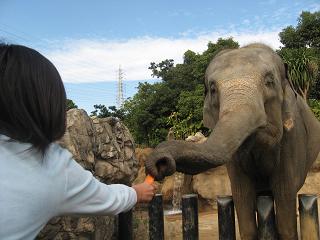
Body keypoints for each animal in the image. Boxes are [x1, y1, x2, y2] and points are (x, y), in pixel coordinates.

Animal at [146, 43, 320, 240]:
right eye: (213, 89)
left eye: (269, 82)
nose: (161, 161)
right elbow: (242, 195)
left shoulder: (293, 138)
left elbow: (284, 193)